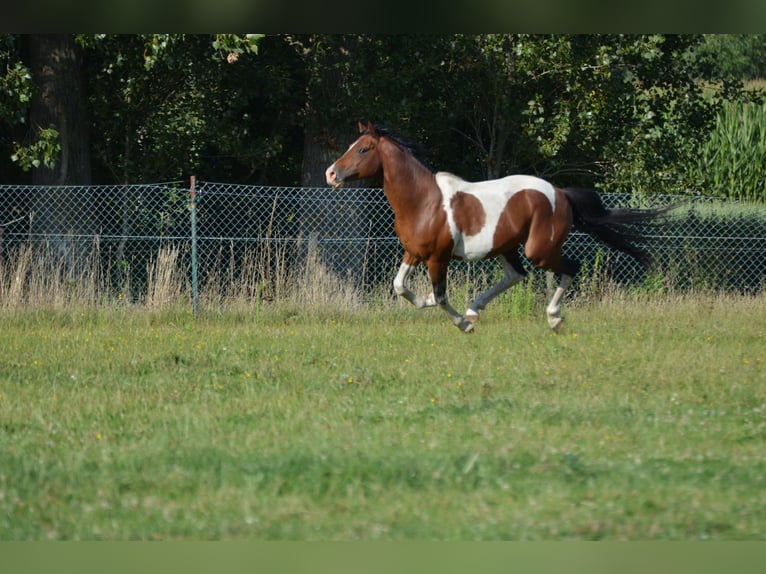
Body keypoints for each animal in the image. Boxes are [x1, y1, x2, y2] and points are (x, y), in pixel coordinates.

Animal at [326, 124, 672, 336]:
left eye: (363, 149)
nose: (331, 174)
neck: (423, 201)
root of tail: (560, 193)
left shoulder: (438, 258)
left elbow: (440, 296)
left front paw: (462, 325)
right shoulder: (413, 252)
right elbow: (401, 286)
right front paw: (432, 304)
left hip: (538, 249)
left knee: (568, 268)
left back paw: (553, 318)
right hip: (507, 248)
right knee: (516, 275)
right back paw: (475, 309)